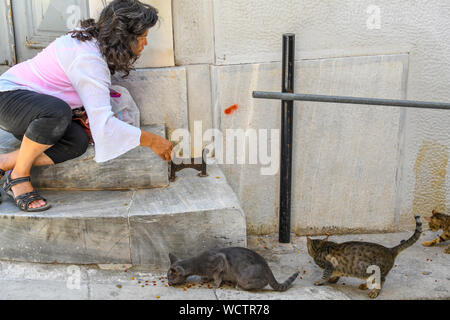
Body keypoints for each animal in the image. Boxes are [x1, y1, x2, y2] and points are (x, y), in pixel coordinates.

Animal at [167, 248, 298, 292]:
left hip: (243, 276)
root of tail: (267, 267)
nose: (168, 283)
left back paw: (239, 287)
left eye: (170, 277)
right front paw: (205, 278)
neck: (196, 264)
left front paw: (215, 285)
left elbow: (217, 277)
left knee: (262, 283)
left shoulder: (219, 263)